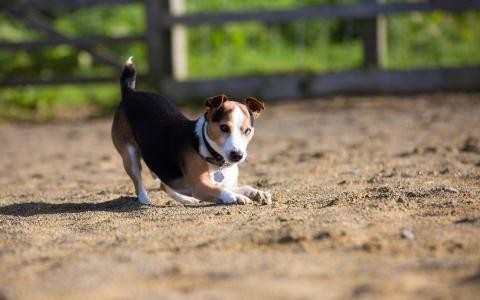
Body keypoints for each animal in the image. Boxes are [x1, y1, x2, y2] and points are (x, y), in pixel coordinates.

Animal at [110, 57, 272, 205]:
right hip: (130, 156)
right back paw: (144, 199)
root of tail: (130, 93)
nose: (237, 155)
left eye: (247, 131)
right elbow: (222, 191)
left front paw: (257, 192)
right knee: (138, 180)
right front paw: (236, 197)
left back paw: (186, 200)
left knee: (163, 184)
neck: (207, 150)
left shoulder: (224, 183)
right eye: (224, 127)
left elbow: (241, 187)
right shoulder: (201, 186)